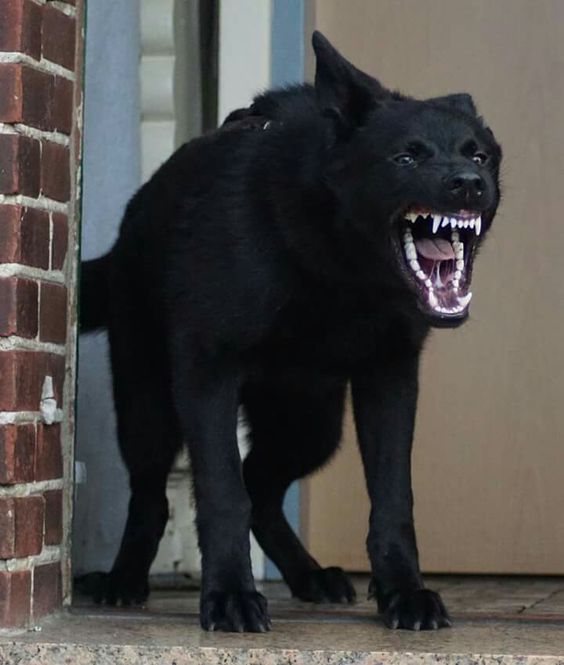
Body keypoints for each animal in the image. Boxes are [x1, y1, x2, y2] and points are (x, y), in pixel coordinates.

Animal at [80, 32, 502, 632]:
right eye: (406, 157)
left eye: (478, 155)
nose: (468, 185)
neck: (338, 269)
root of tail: (125, 232)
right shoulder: (206, 373)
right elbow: (222, 494)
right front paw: (229, 595)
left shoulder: (390, 379)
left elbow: (393, 500)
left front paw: (404, 592)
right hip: (150, 410)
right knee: (155, 495)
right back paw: (123, 580)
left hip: (309, 424)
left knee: (261, 490)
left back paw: (310, 576)